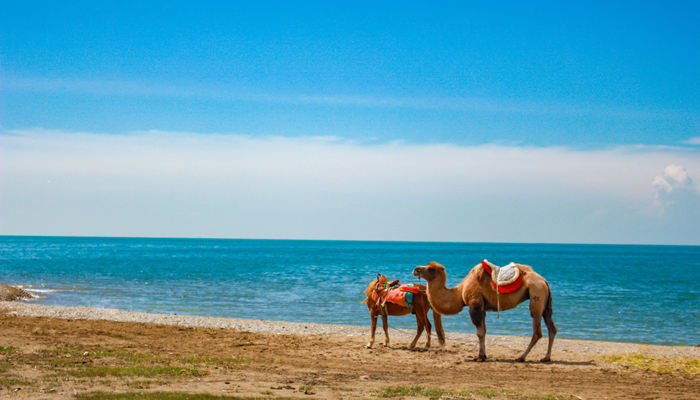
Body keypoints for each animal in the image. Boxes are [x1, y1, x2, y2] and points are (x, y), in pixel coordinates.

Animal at [410, 260, 556, 360]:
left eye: (430, 268)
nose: (416, 269)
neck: (460, 292)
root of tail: (544, 281)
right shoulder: (483, 307)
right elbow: (484, 331)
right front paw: (484, 355)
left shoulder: (475, 304)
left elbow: (479, 333)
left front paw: (480, 357)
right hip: (545, 302)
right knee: (551, 328)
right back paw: (546, 358)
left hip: (536, 295)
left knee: (537, 331)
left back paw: (521, 357)